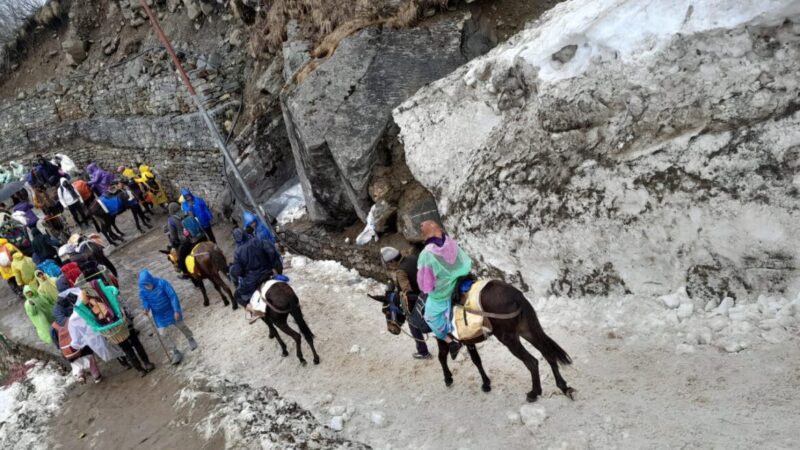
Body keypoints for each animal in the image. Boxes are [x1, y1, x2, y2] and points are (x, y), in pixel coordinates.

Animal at [368, 282, 576, 404]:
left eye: (384, 311)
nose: (392, 330)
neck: (422, 304)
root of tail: (516, 295)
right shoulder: (468, 339)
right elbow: (477, 360)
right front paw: (486, 384)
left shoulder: (441, 337)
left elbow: (442, 357)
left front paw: (448, 378)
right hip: (527, 330)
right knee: (548, 353)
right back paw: (563, 387)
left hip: (508, 337)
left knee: (532, 361)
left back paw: (535, 392)